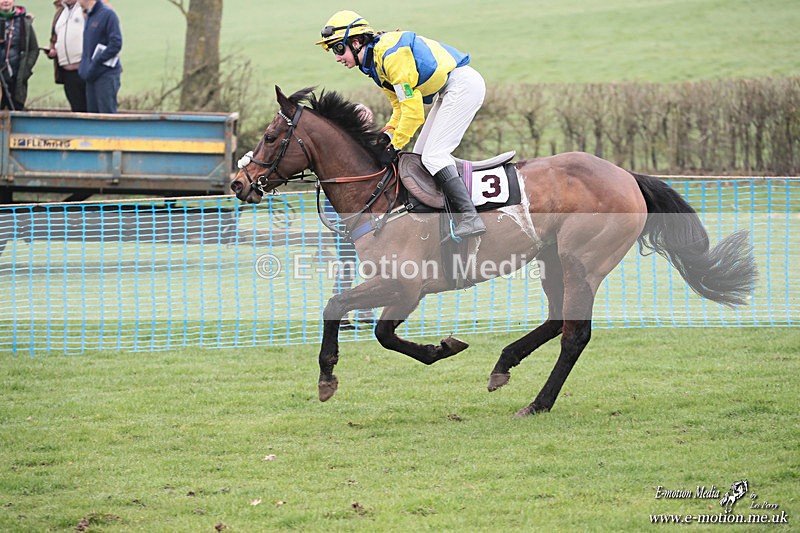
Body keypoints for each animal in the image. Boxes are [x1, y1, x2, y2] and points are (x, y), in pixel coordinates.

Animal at [230, 86, 757, 416]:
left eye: (271, 137)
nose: (239, 182)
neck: (381, 193)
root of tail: (627, 176)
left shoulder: (406, 286)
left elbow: (360, 320)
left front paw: (431, 350)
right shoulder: (399, 287)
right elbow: (352, 315)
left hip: (583, 263)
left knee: (575, 335)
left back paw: (539, 403)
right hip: (552, 261)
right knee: (557, 320)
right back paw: (504, 365)